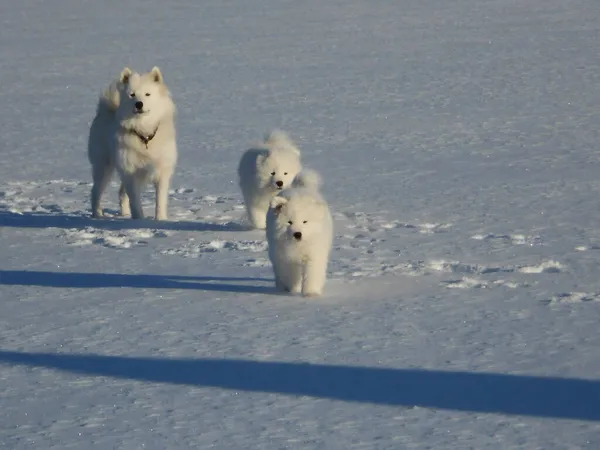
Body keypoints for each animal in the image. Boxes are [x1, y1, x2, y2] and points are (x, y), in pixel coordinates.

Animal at [87, 66, 176, 220]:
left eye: (147, 94)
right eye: (132, 95)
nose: (139, 104)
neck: (144, 134)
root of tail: (103, 111)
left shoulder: (161, 171)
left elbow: (160, 200)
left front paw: (160, 220)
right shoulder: (130, 172)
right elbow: (135, 201)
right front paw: (139, 221)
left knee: (121, 193)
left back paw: (125, 213)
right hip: (103, 166)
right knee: (96, 191)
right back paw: (98, 214)